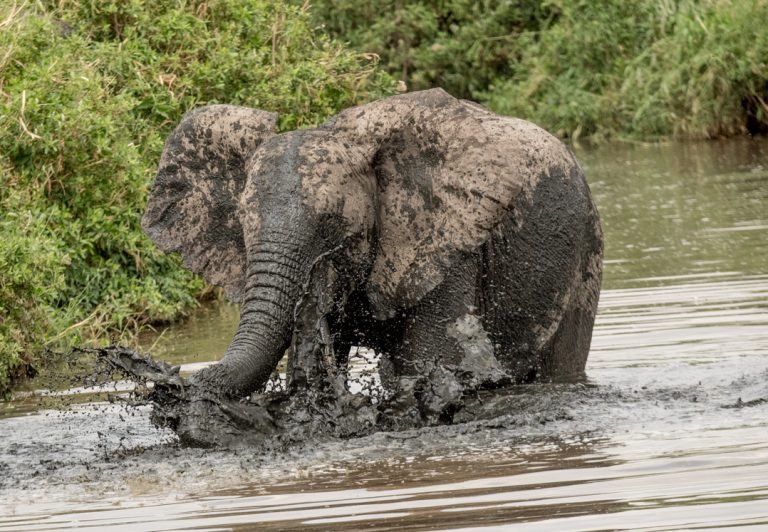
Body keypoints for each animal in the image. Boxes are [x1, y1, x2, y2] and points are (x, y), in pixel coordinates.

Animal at [142, 88, 603, 444]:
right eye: (241, 221)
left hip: (586, 250)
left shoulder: (445, 242)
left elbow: (427, 361)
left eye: (331, 224)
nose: (174, 390)